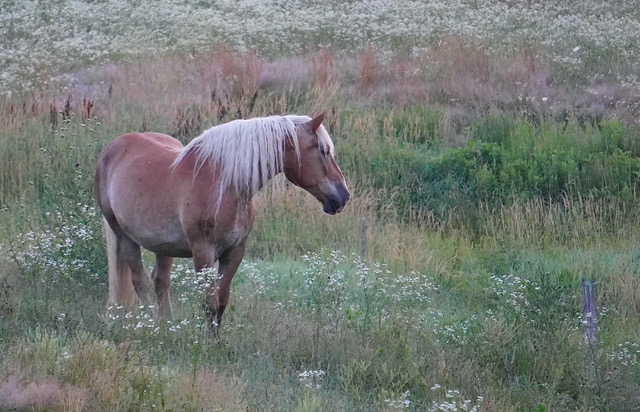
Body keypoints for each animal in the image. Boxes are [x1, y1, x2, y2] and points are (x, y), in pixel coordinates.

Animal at [95, 113, 350, 334]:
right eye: (323, 150)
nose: (343, 197)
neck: (226, 184)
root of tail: (112, 148)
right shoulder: (203, 252)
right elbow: (209, 302)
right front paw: (208, 346)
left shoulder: (234, 251)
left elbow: (222, 301)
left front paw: (217, 342)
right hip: (123, 235)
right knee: (139, 281)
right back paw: (152, 328)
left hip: (163, 246)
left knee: (160, 282)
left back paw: (167, 327)